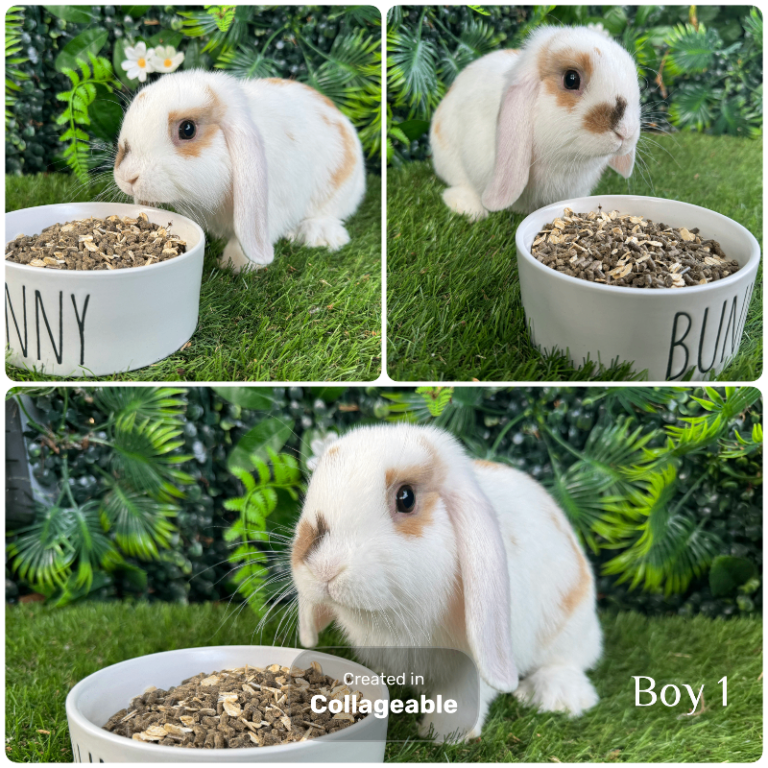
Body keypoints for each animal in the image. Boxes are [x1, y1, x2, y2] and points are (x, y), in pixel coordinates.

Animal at [291, 423, 602, 742]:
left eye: (406, 498)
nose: (323, 567)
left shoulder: (471, 663)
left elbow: (464, 697)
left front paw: (444, 735)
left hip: (569, 629)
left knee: (570, 660)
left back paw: (555, 696)